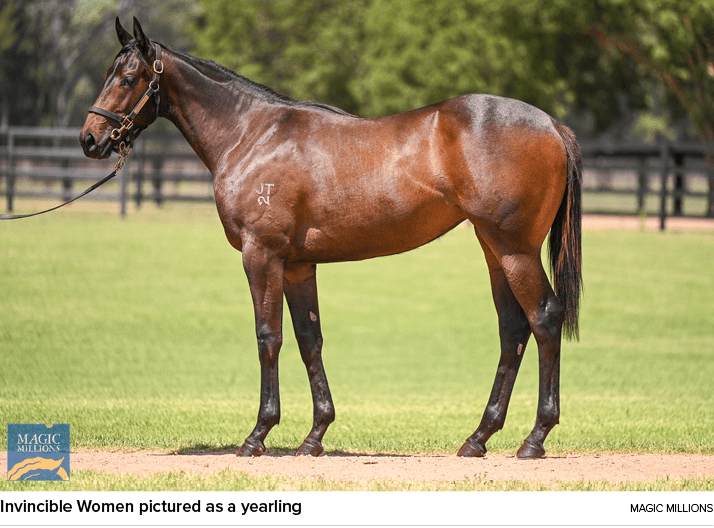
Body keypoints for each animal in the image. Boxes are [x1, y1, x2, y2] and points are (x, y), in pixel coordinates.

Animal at [80, 18, 580, 458]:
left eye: (128, 78)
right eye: (108, 74)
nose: (90, 139)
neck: (252, 134)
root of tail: (552, 125)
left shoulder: (261, 255)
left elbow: (268, 338)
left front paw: (258, 435)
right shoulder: (298, 266)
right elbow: (308, 340)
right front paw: (315, 435)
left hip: (515, 251)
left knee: (544, 318)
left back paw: (535, 438)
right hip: (494, 250)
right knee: (513, 329)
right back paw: (478, 437)